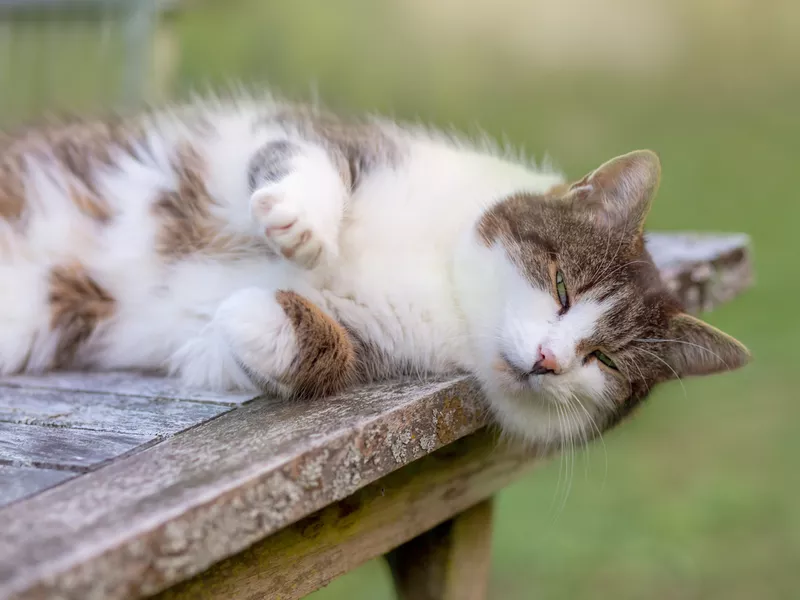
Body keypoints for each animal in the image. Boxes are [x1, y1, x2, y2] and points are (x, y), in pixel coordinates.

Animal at [0, 92, 752, 440]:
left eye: (607, 362)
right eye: (562, 283)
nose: (548, 358)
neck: (446, 280)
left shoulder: (379, 346)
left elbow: (306, 355)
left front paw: (249, 313)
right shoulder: (310, 135)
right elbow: (302, 152)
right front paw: (300, 224)